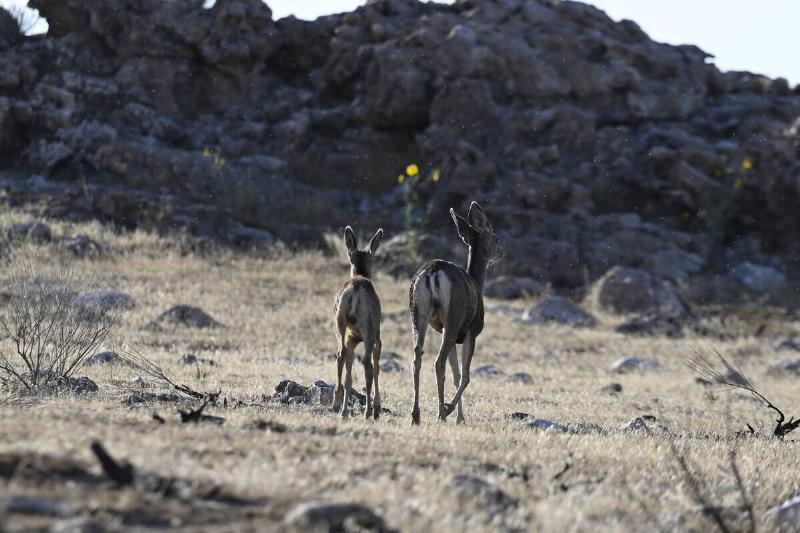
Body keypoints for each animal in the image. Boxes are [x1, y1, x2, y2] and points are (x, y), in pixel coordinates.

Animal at [333, 226, 383, 419]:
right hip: (368, 327)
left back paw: (338, 406)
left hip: (339, 321)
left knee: (340, 354)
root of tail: (354, 291)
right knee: (367, 363)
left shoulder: (352, 338)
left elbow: (349, 373)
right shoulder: (378, 336)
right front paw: (377, 407)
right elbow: (376, 367)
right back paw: (368, 412)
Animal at [409, 201, 501, 425]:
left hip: (418, 313)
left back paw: (416, 415)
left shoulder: (442, 329)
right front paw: (452, 410)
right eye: (496, 238)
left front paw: (460, 417)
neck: (477, 283)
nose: (501, 252)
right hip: (453, 316)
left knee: (417, 358)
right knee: (438, 362)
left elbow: (456, 375)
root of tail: (432, 272)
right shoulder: (471, 331)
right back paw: (441, 414)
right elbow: (465, 376)